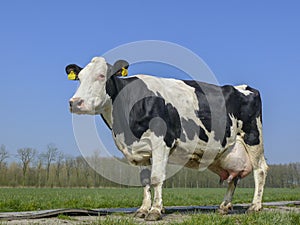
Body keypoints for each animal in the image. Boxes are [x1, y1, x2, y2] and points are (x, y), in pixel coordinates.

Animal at [67, 57, 268, 221]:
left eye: (102, 76)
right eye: (79, 78)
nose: (75, 102)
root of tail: (244, 87)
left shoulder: (161, 142)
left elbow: (156, 178)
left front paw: (155, 211)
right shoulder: (141, 151)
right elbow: (145, 181)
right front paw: (143, 209)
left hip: (253, 138)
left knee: (260, 169)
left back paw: (254, 207)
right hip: (229, 151)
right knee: (234, 177)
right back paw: (224, 207)